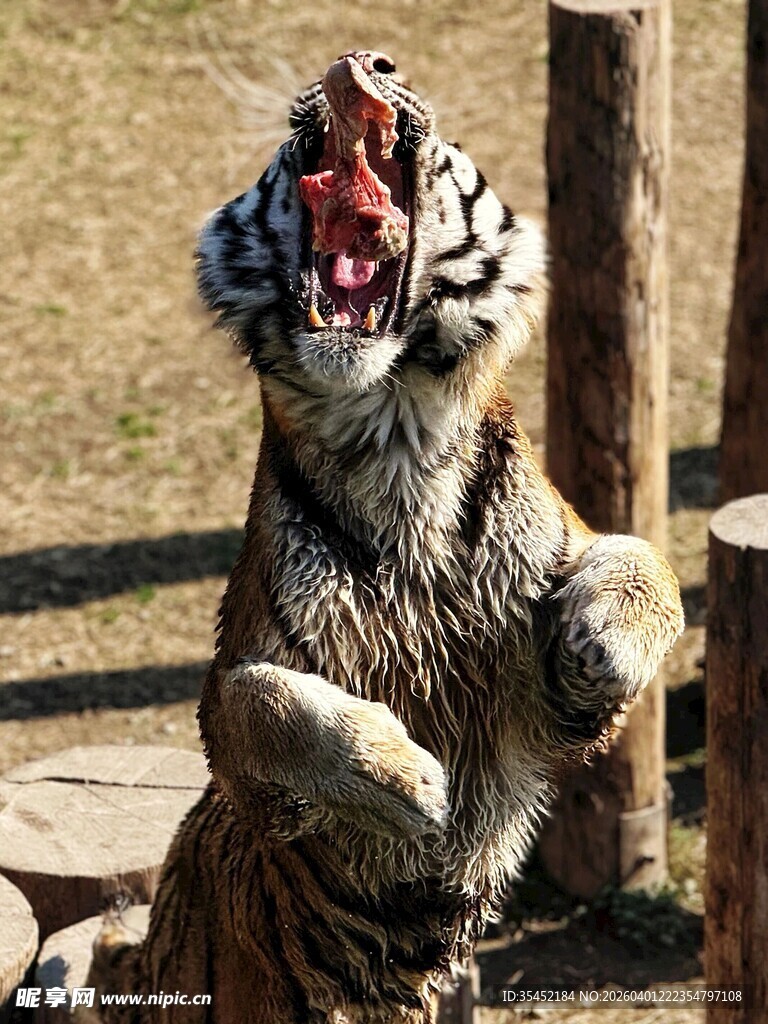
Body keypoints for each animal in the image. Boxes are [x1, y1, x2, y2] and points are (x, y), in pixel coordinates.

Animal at [85, 50, 684, 1023]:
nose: (357, 61)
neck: (393, 435)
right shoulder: (236, 732)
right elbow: (261, 698)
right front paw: (404, 778)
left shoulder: (542, 714)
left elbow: (646, 558)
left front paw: (600, 638)